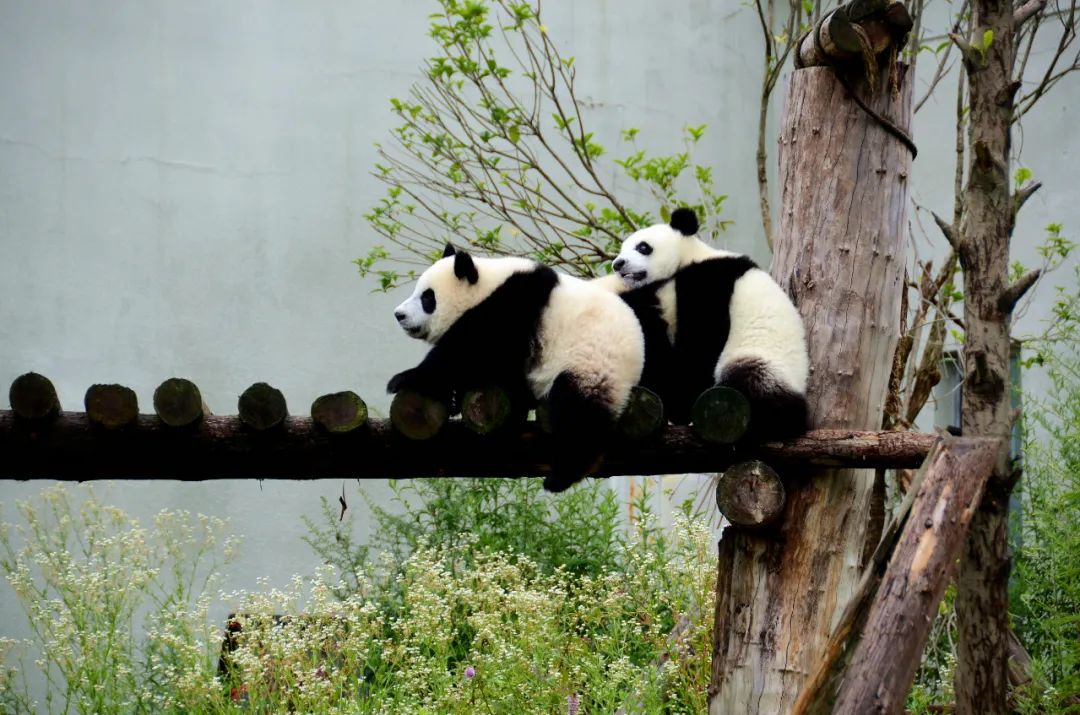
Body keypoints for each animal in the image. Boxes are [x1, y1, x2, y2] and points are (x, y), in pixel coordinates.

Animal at [389, 244, 645, 492]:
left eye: (427, 298)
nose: (399, 314)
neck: (486, 286)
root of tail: (636, 364)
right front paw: (453, 398)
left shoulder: (510, 308)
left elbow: (467, 353)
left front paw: (404, 379)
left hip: (592, 363)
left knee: (579, 417)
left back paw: (562, 476)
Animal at [605, 207, 809, 441]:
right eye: (622, 249)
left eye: (643, 247)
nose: (618, 264)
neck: (692, 254)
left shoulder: (708, 279)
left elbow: (701, 343)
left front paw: (682, 404)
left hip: (763, 360)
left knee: (751, 382)